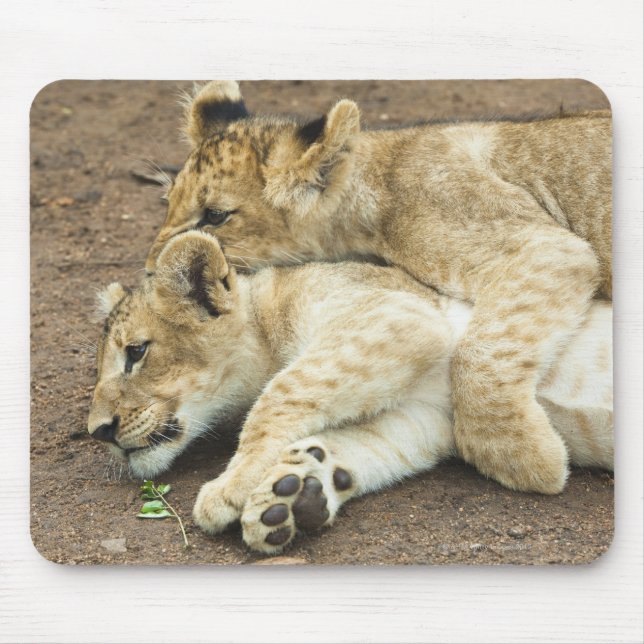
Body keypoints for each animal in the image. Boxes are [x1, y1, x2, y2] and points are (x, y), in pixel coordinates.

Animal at [89, 231, 613, 554]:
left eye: (136, 352)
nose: (98, 432)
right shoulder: (426, 419)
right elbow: (364, 444)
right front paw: (292, 494)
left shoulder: (397, 313)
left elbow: (283, 391)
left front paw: (229, 489)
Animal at [144, 81, 612, 495]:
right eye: (168, 203)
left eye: (215, 215)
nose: (150, 272)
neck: (375, 186)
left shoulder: (547, 247)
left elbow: (479, 353)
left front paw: (523, 458)